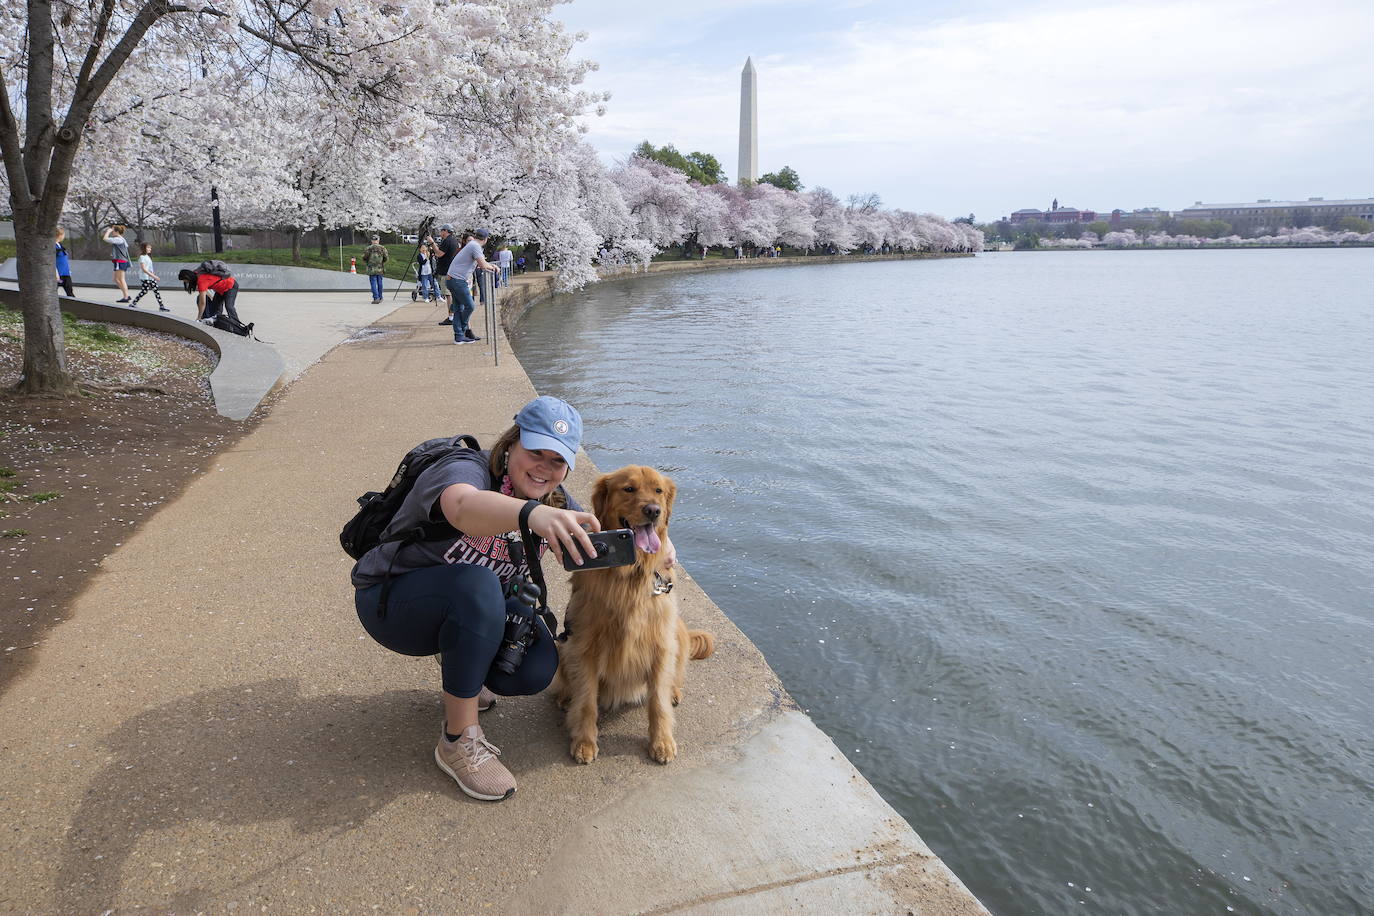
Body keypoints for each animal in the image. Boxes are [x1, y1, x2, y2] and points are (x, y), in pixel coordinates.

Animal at [549, 466, 714, 769]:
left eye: (658, 490)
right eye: (629, 489)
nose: (653, 510)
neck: (630, 575)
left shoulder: (660, 643)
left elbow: (658, 703)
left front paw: (662, 742)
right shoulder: (585, 645)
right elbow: (587, 701)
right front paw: (584, 742)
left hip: (677, 632)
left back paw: (674, 691)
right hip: (564, 642)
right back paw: (566, 695)